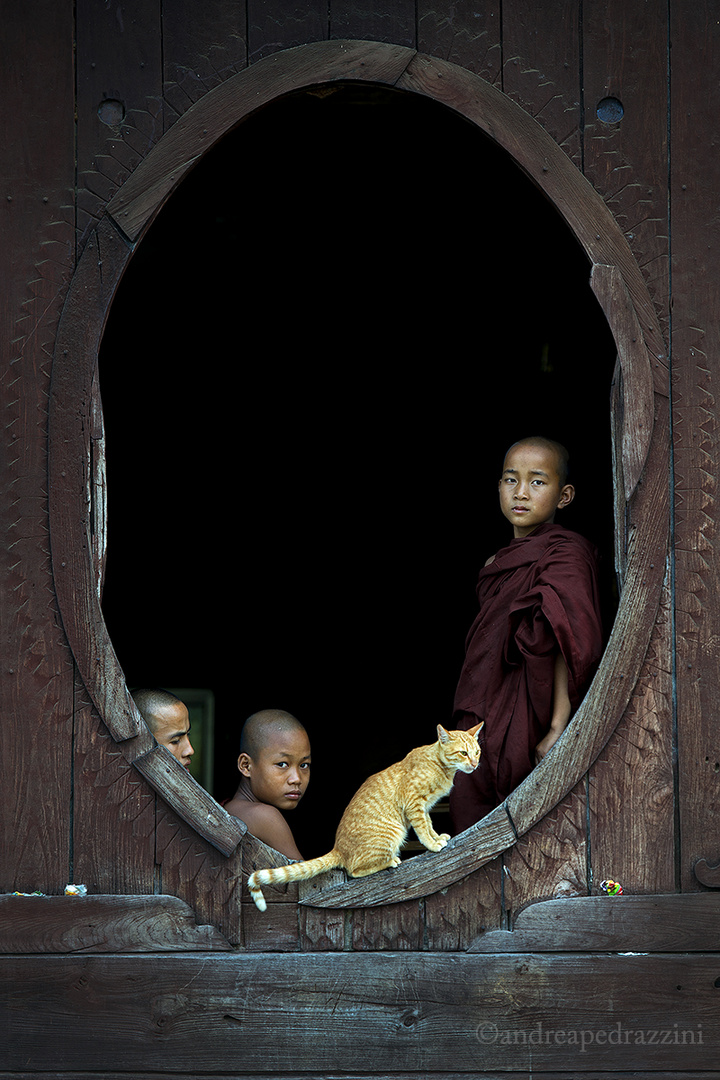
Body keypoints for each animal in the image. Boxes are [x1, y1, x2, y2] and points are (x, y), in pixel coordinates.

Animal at [249, 725, 483, 911]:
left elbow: (429, 825)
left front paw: (438, 837)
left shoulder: (424, 808)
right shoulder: (414, 804)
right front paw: (432, 845)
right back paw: (391, 860)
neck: (441, 766)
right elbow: (423, 829)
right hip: (393, 832)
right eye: (463, 753)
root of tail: (338, 849)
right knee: (354, 871)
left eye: (477, 752)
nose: (474, 764)